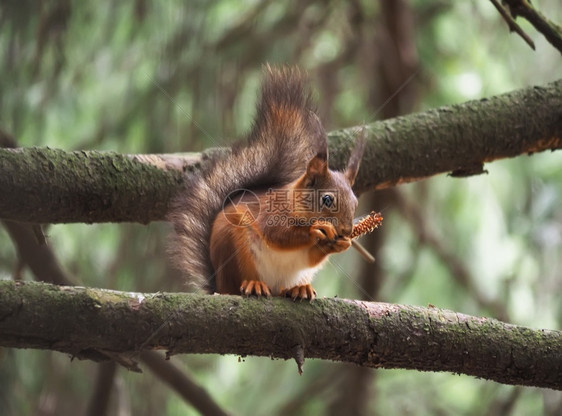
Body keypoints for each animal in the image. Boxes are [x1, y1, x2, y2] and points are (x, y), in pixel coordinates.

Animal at [168, 64, 366, 300]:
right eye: (327, 199)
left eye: (355, 203)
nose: (346, 230)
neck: (294, 205)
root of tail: (219, 287)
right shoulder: (270, 214)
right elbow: (278, 235)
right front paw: (316, 230)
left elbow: (312, 256)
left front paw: (342, 243)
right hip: (234, 247)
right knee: (241, 281)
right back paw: (254, 285)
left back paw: (299, 288)